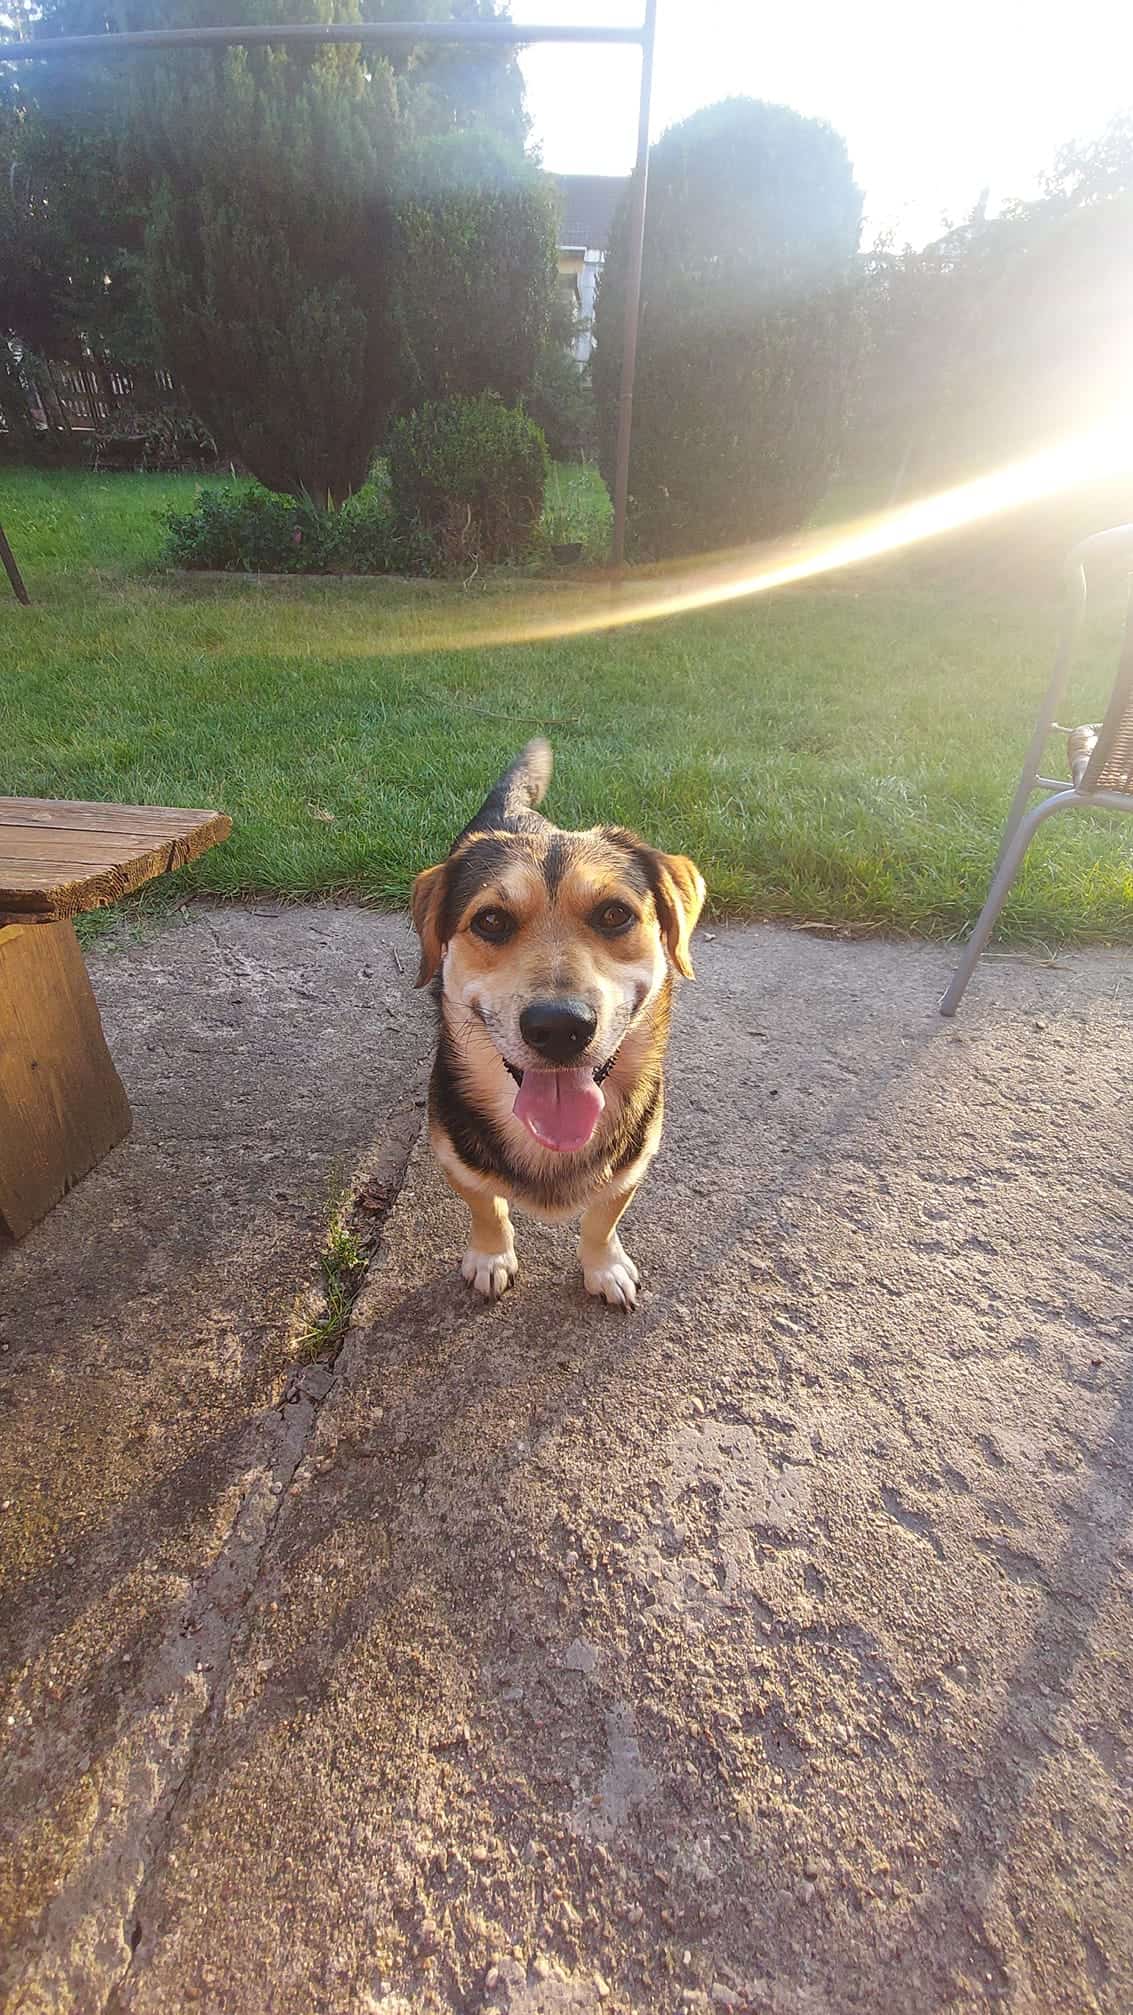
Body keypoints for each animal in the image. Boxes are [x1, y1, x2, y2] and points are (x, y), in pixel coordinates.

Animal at [411, 740, 705, 1310]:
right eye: (491, 921)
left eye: (615, 914)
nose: (559, 1027)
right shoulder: (455, 1158)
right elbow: (487, 1207)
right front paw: (491, 1257)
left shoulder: (631, 1166)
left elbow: (602, 1219)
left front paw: (604, 1267)